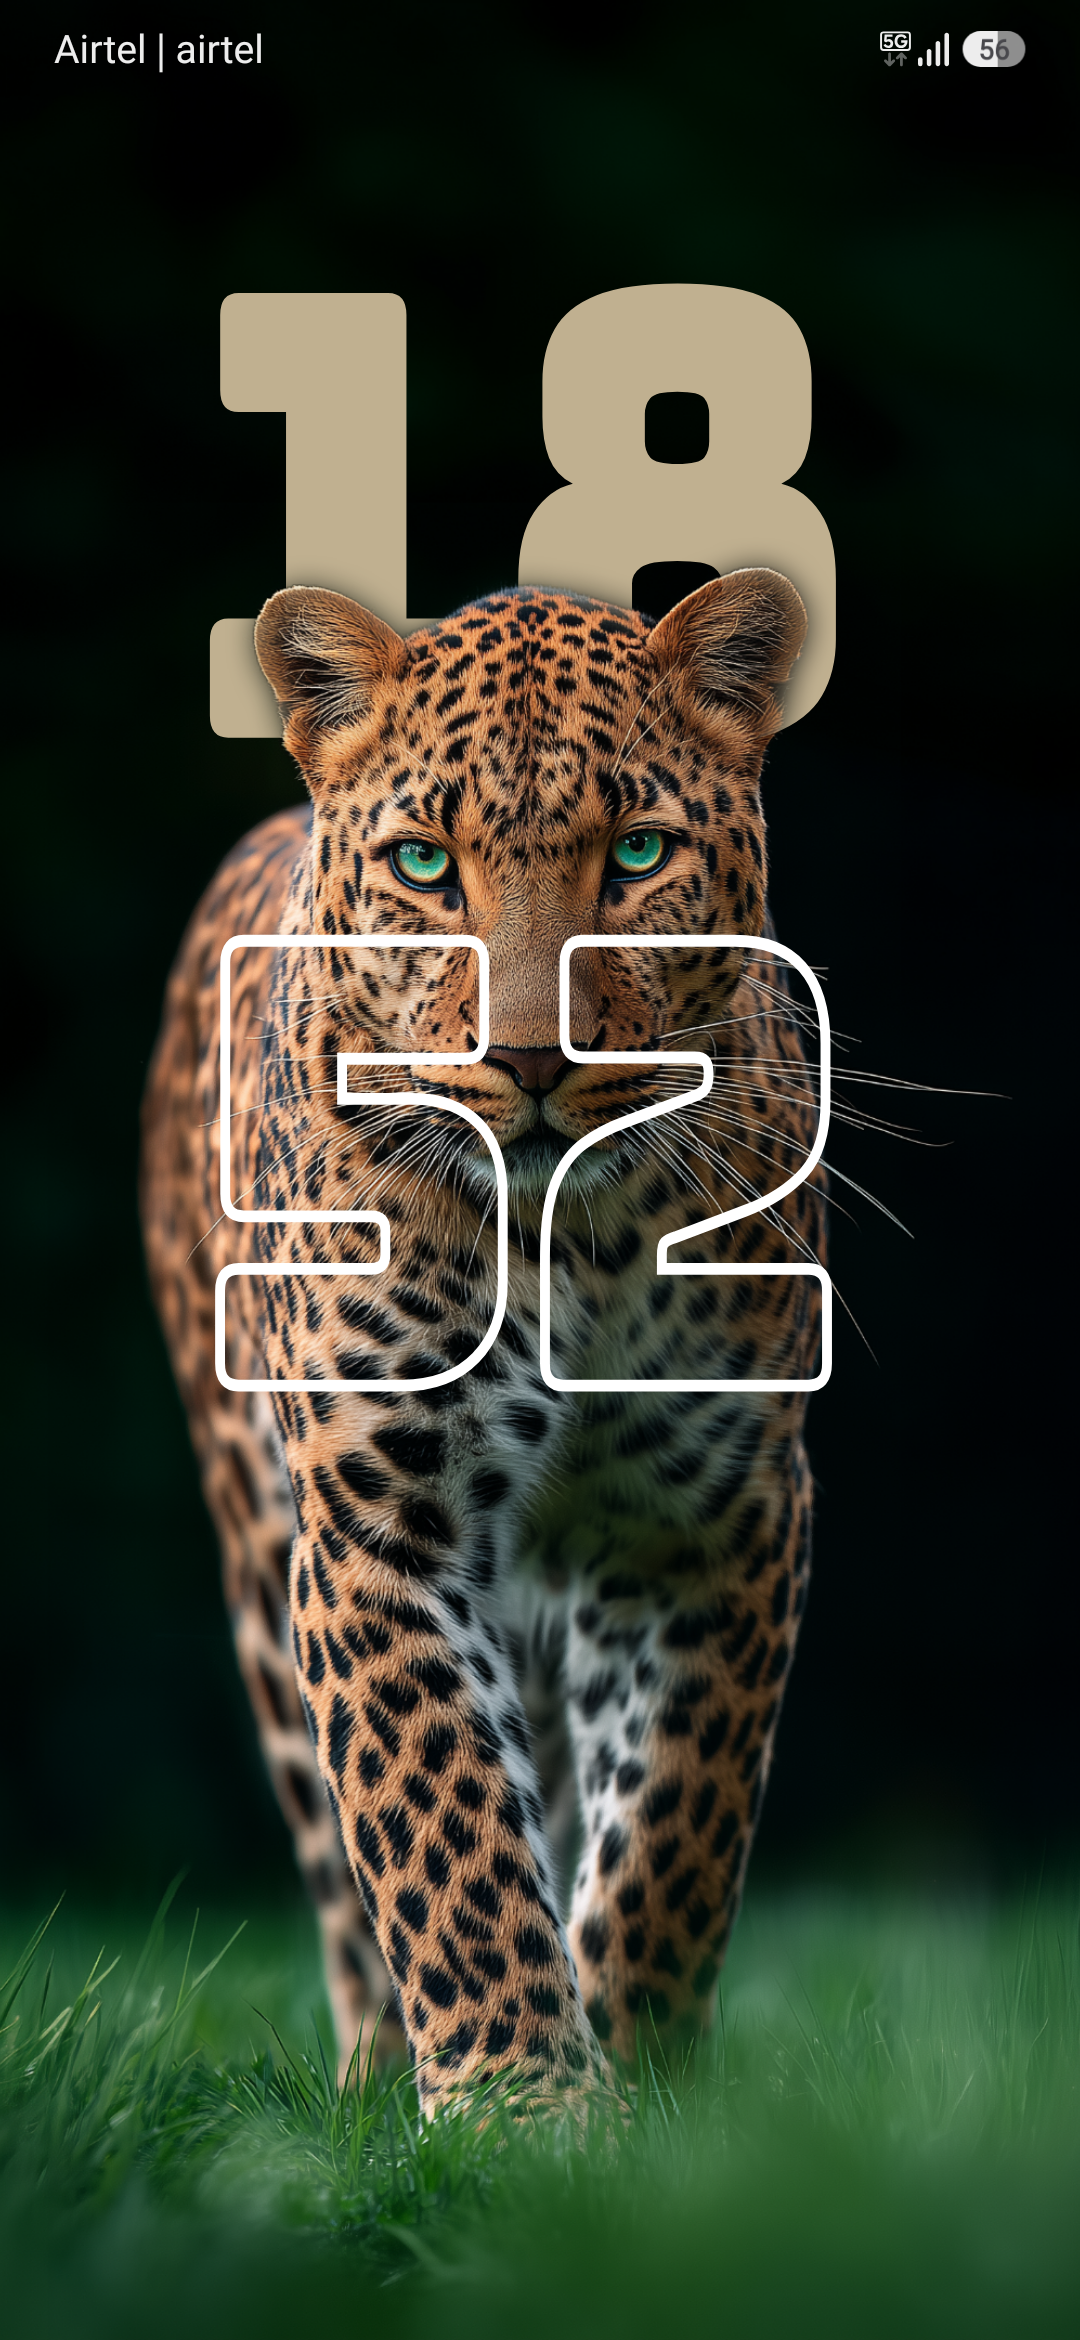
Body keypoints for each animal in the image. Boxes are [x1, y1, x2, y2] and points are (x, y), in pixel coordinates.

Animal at [140, 570, 825, 2118]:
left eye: (637, 853)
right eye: (424, 864)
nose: (529, 1061)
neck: (567, 1253)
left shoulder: (713, 1513)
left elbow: (673, 1828)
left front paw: (644, 2089)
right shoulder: (380, 1515)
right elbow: (443, 1823)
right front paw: (523, 2104)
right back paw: (376, 2079)